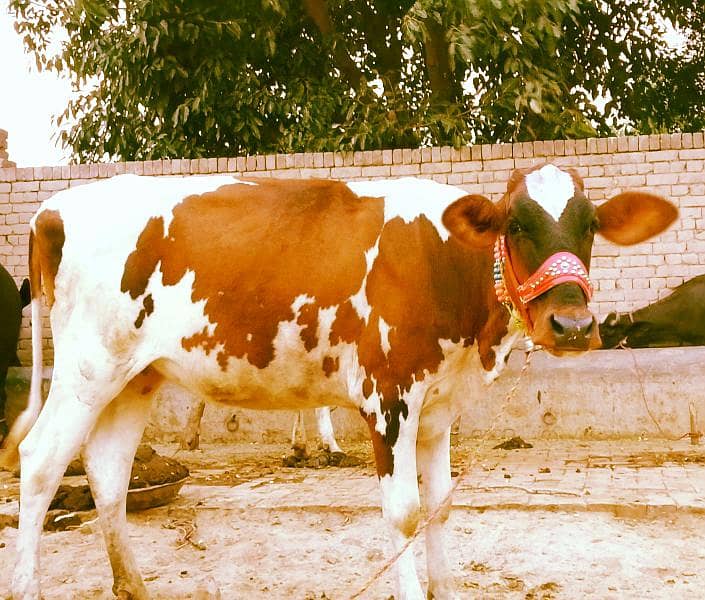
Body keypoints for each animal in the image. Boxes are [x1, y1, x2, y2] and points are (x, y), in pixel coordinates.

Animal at [0, 167, 676, 599]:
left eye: (590, 225)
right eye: (515, 224)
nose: (573, 324)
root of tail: (54, 209)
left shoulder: (438, 408)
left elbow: (441, 505)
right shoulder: (388, 397)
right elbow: (404, 513)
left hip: (133, 374)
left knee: (108, 472)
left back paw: (134, 587)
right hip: (85, 368)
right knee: (40, 461)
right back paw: (31, 586)